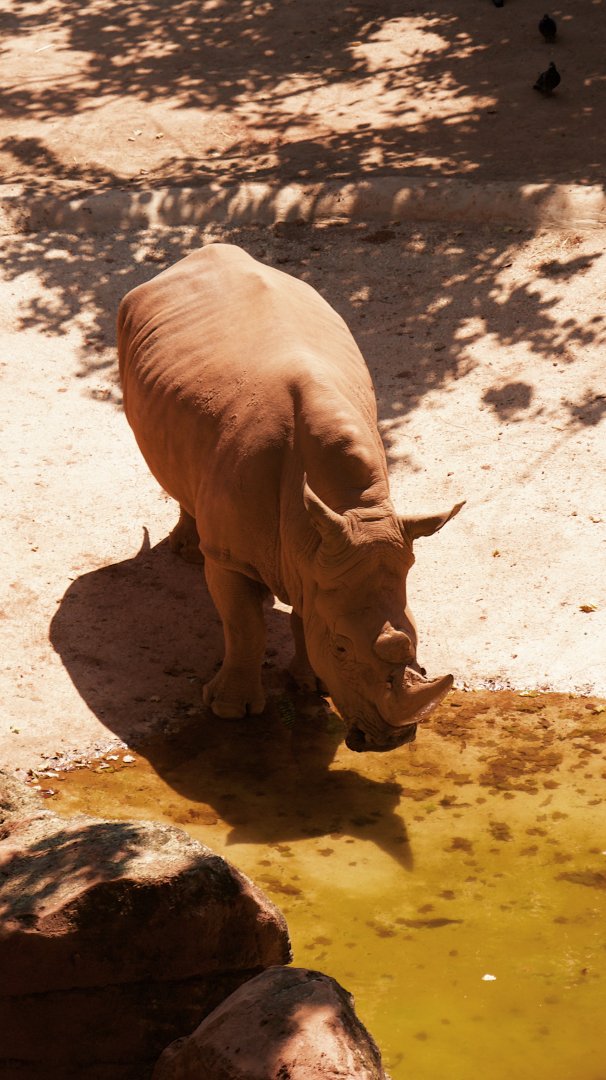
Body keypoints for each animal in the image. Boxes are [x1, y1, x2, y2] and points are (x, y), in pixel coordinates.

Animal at [118, 243, 463, 752]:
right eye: (341, 647)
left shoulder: (319, 552)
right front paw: (230, 711)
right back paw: (187, 552)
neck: (351, 508)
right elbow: (244, 626)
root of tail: (193, 258)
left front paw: (312, 685)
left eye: (415, 639)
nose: (390, 741)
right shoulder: (234, 556)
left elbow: (306, 613)